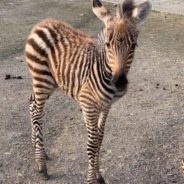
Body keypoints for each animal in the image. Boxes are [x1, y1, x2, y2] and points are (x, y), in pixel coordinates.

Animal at [24, 0, 151, 183]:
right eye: (107, 45)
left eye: (134, 45)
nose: (120, 83)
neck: (104, 69)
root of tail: (42, 23)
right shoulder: (88, 104)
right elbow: (91, 144)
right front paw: (91, 179)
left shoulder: (106, 106)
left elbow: (99, 138)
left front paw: (98, 174)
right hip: (42, 79)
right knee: (37, 113)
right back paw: (41, 163)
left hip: (50, 81)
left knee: (31, 103)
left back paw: (38, 149)